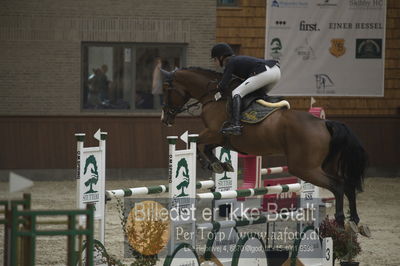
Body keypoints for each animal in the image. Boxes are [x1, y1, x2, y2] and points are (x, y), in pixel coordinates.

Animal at [159, 65, 368, 230]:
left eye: (167, 89)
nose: (165, 118)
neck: (213, 97)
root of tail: (325, 123)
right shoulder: (221, 139)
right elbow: (207, 147)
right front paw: (222, 165)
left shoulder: (214, 132)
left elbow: (200, 145)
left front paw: (214, 165)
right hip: (326, 165)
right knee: (347, 184)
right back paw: (355, 222)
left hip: (304, 168)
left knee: (338, 185)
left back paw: (340, 222)